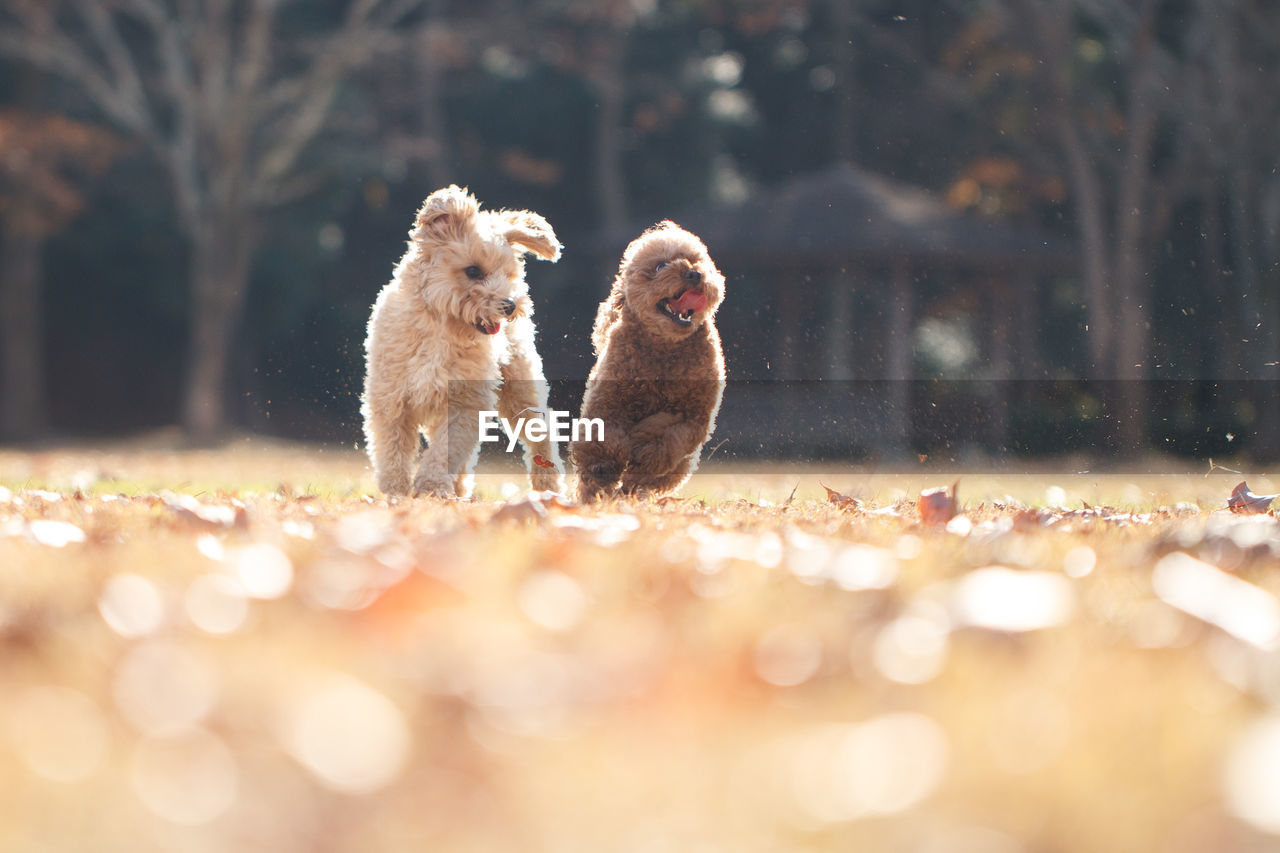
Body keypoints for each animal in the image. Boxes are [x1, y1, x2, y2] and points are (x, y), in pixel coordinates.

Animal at [358, 183, 563, 494]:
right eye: (473, 271)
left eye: (508, 274)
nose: (510, 305)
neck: (441, 329)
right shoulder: (391, 399)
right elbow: (393, 450)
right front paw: (396, 490)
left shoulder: (464, 404)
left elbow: (446, 449)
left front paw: (430, 487)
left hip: (520, 388)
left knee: (540, 434)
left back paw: (547, 486)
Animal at [576, 219, 727, 502]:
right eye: (660, 266)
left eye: (696, 260)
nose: (694, 274)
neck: (664, 349)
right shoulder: (606, 404)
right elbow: (605, 438)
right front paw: (605, 466)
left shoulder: (695, 418)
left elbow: (668, 441)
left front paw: (645, 451)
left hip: (681, 465)